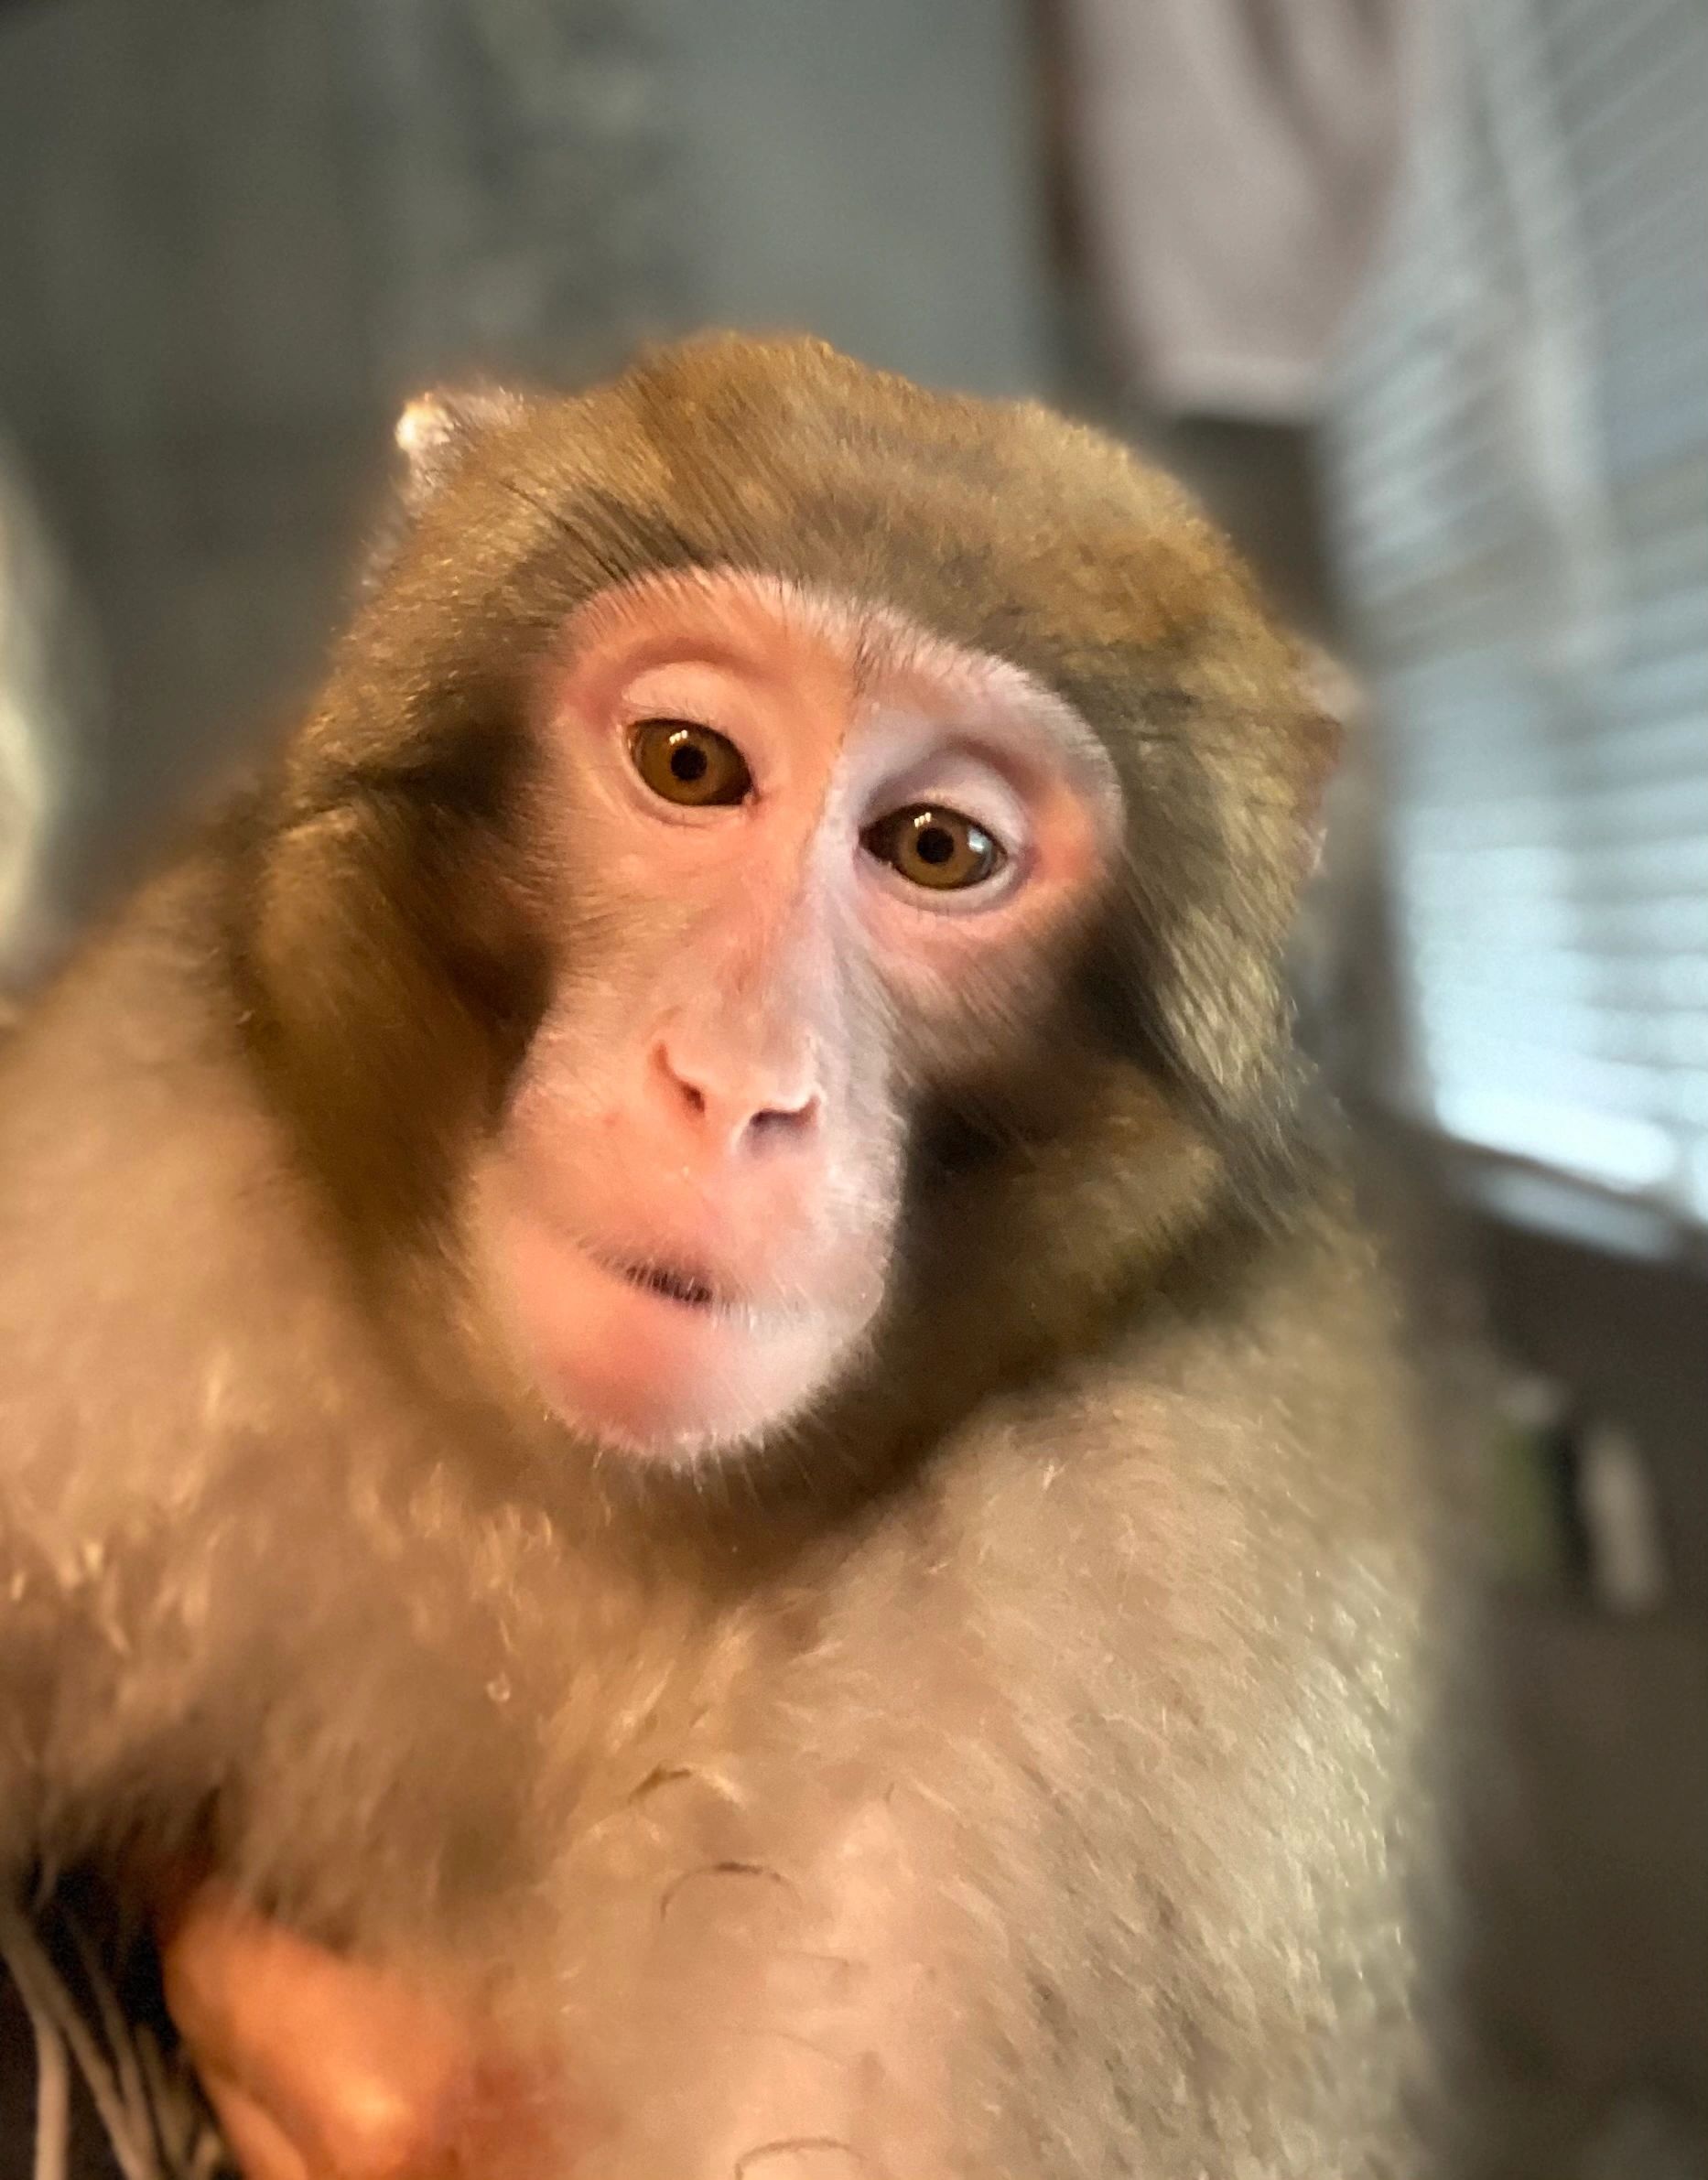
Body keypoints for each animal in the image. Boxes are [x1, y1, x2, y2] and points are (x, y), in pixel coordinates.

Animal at [0, 332, 1444, 2179]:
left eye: (936, 849)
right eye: (689, 764)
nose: (737, 1082)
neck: (597, 1498)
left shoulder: (1165, 1630)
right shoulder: (117, 1185)